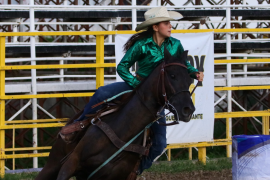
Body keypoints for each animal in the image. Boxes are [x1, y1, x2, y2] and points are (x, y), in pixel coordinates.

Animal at [35, 47, 195, 180]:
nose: (188, 110)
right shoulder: (70, 163)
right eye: (172, 75)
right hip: (53, 164)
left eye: (189, 79)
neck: (123, 131)